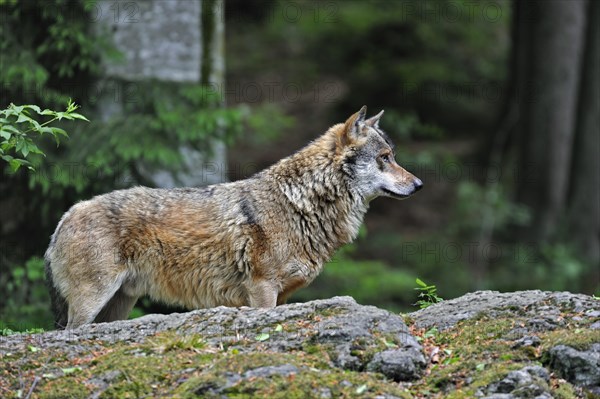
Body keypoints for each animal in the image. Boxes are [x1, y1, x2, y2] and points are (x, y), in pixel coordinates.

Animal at [45, 106, 422, 328]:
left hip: (119, 305)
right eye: (385, 158)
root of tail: (65, 216)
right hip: (93, 302)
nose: (419, 184)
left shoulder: (284, 295)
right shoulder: (261, 289)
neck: (300, 203)